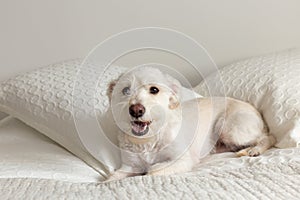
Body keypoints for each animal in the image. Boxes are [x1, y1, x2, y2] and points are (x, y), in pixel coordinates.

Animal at [105, 67, 274, 181]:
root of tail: (256, 111)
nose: (136, 110)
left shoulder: (182, 160)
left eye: (154, 90)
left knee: (267, 137)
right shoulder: (129, 166)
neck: (149, 139)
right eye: (125, 90)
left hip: (229, 129)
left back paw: (254, 150)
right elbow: (111, 178)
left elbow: (151, 171)